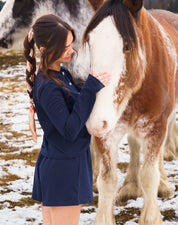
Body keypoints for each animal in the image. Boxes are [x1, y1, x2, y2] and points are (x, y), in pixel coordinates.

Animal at [83, 0, 178, 225]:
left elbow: (149, 176)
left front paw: (151, 217)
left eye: (127, 46)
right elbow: (107, 180)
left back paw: (163, 184)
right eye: (89, 41)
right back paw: (131, 186)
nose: (94, 122)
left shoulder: (157, 127)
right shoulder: (107, 131)